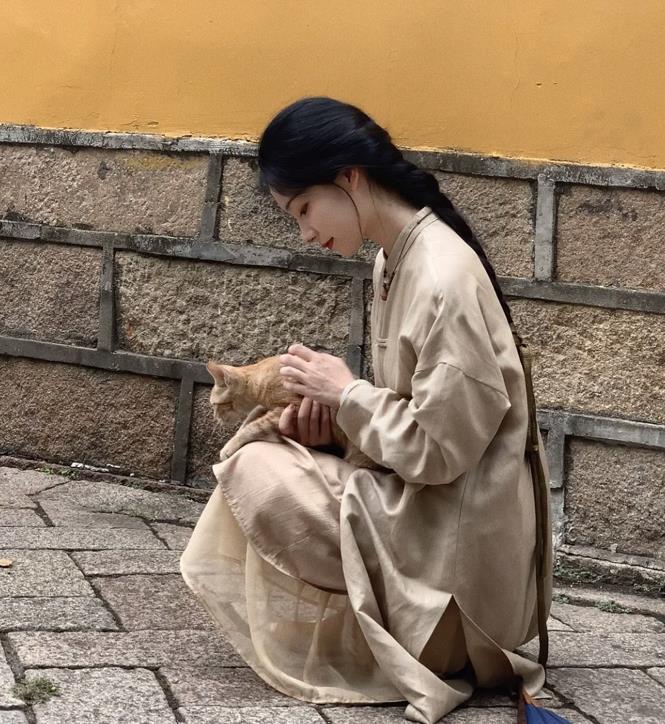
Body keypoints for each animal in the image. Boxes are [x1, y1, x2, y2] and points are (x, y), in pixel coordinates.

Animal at [206, 355, 382, 470]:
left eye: (215, 405)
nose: (215, 417)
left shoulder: (288, 408)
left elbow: (254, 426)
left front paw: (230, 446)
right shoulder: (266, 407)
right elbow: (250, 418)